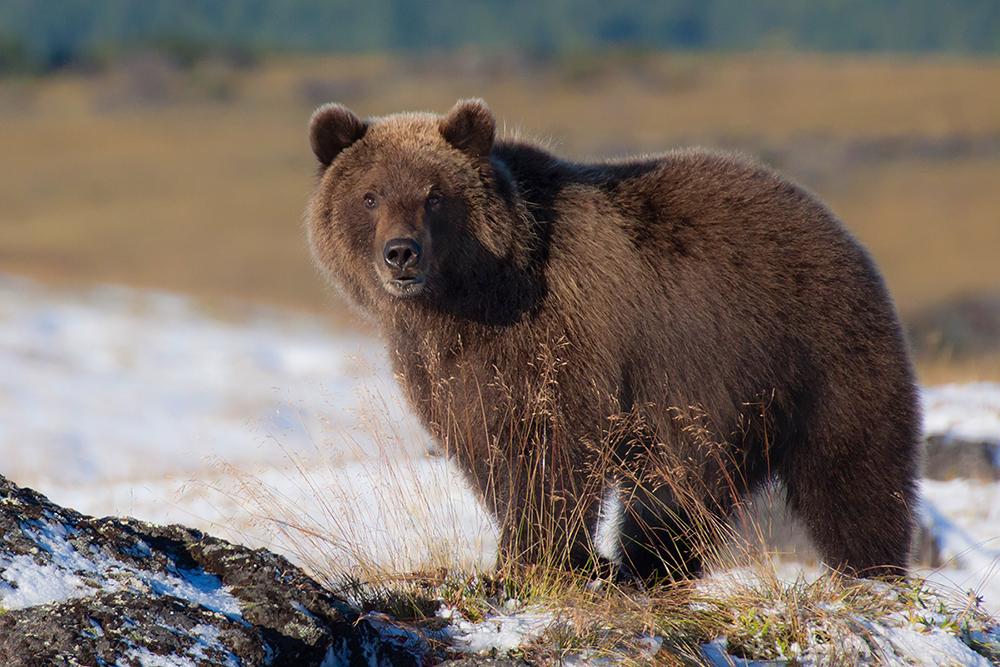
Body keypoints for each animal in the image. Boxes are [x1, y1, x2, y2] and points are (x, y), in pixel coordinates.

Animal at [304, 96, 920, 580]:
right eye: (370, 196)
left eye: (434, 195)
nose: (401, 253)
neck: (468, 298)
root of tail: (829, 219)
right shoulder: (449, 368)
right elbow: (486, 451)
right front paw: (555, 556)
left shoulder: (562, 340)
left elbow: (550, 452)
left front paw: (535, 557)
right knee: (679, 495)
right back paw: (649, 565)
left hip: (813, 352)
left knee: (852, 473)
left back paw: (870, 571)